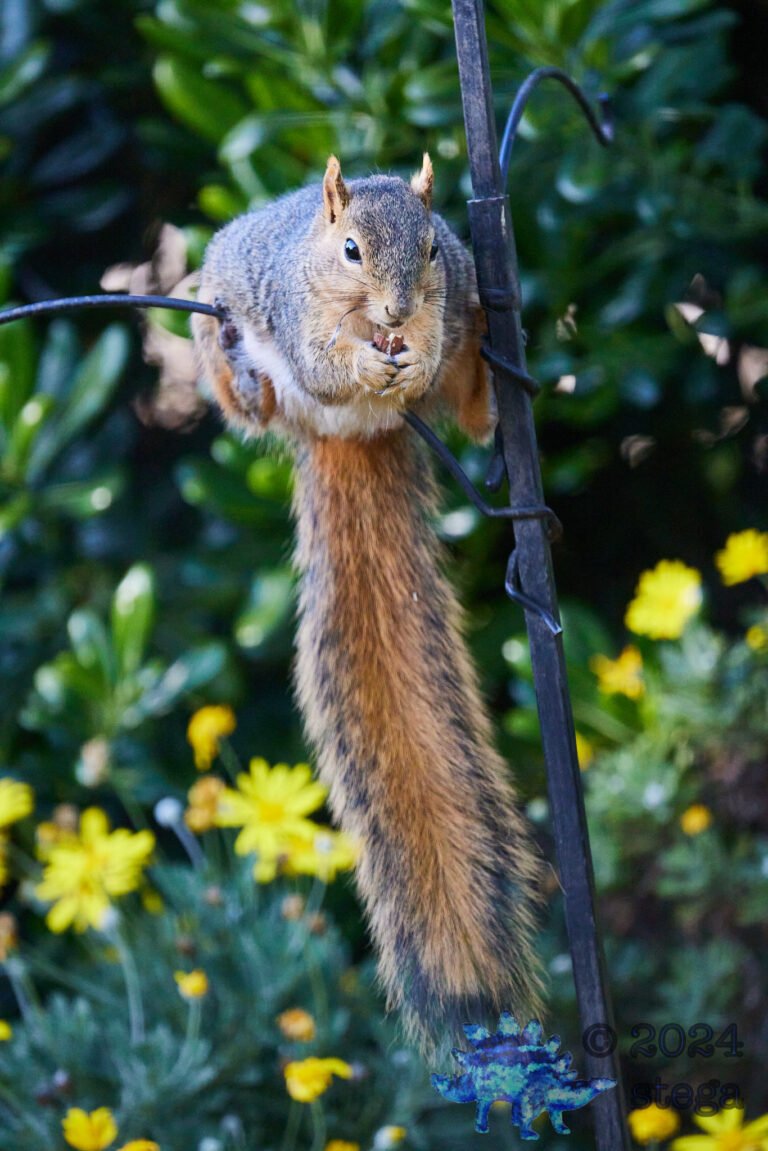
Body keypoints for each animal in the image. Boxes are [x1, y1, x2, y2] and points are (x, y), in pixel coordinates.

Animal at [192, 154, 545, 1056]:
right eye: (350, 248)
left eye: (432, 249)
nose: (394, 312)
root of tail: (349, 433)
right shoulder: (298, 312)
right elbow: (323, 360)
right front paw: (360, 361)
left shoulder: (442, 299)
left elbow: (428, 351)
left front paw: (407, 359)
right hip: (225, 343)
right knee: (251, 398)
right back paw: (250, 377)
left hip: (463, 347)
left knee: (466, 403)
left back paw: (478, 380)